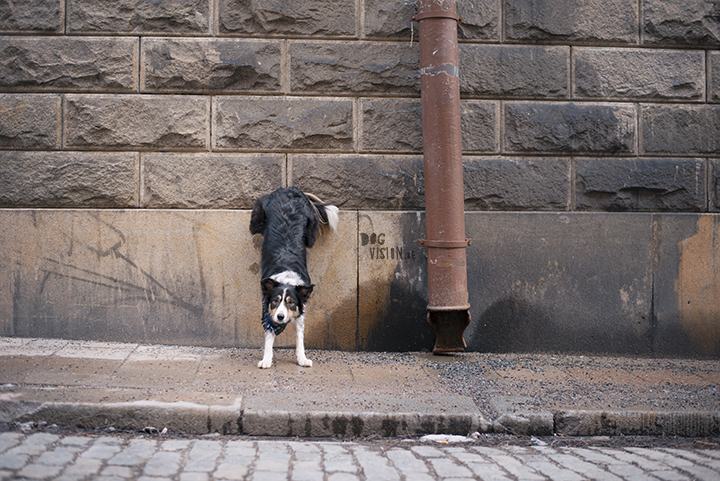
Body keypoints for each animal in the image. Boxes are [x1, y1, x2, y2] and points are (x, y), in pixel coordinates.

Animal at [249, 187, 338, 368]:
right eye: (275, 301)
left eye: (291, 303)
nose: (281, 317)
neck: (286, 278)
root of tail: (289, 189)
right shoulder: (268, 310)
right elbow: (269, 337)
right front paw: (266, 360)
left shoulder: (300, 313)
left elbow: (300, 338)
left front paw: (302, 358)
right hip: (256, 220)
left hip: (311, 236)